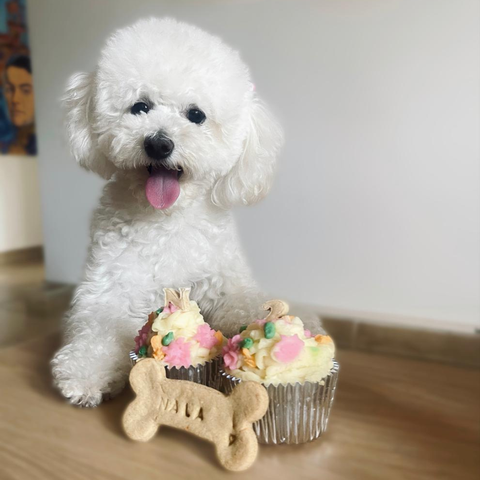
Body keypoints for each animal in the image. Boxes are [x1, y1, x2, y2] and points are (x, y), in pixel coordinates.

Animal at [52, 17, 322, 407]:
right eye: (140, 107)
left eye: (196, 115)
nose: (158, 143)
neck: (166, 220)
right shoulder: (109, 286)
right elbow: (100, 326)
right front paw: (86, 372)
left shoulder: (225, 284)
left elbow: (246, 305)